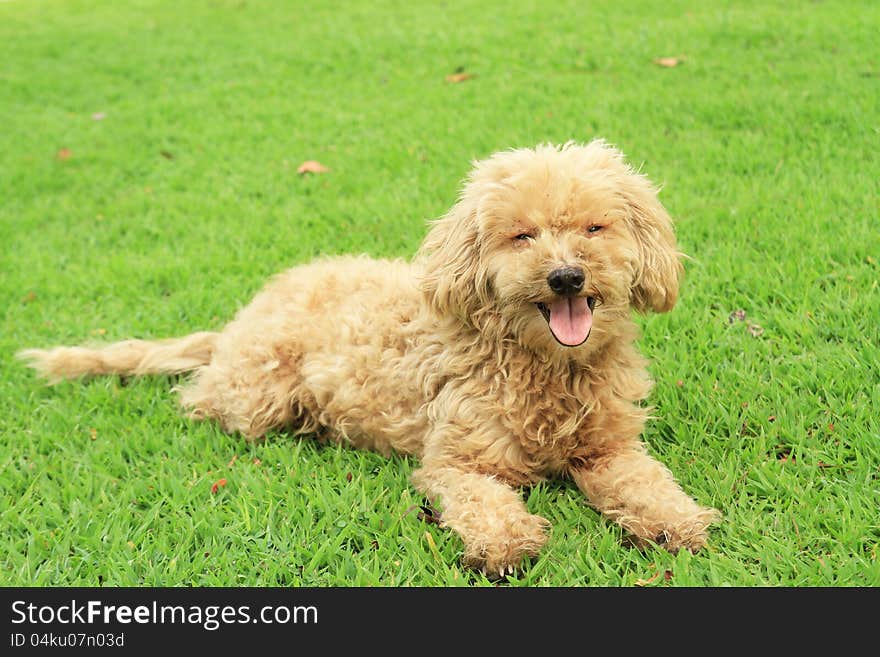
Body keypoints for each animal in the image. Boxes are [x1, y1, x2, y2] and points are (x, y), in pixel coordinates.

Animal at [20, 140, 720, 576]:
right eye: (522, 236)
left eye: (594, 228)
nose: (567, 276)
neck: (544, 364)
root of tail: (238, 322)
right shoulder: (456, 461)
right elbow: (483, 502)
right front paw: (506, 542)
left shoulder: (610, 449)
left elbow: (648, 483)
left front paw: (676, 522)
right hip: (258, 395)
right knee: (199, 399)